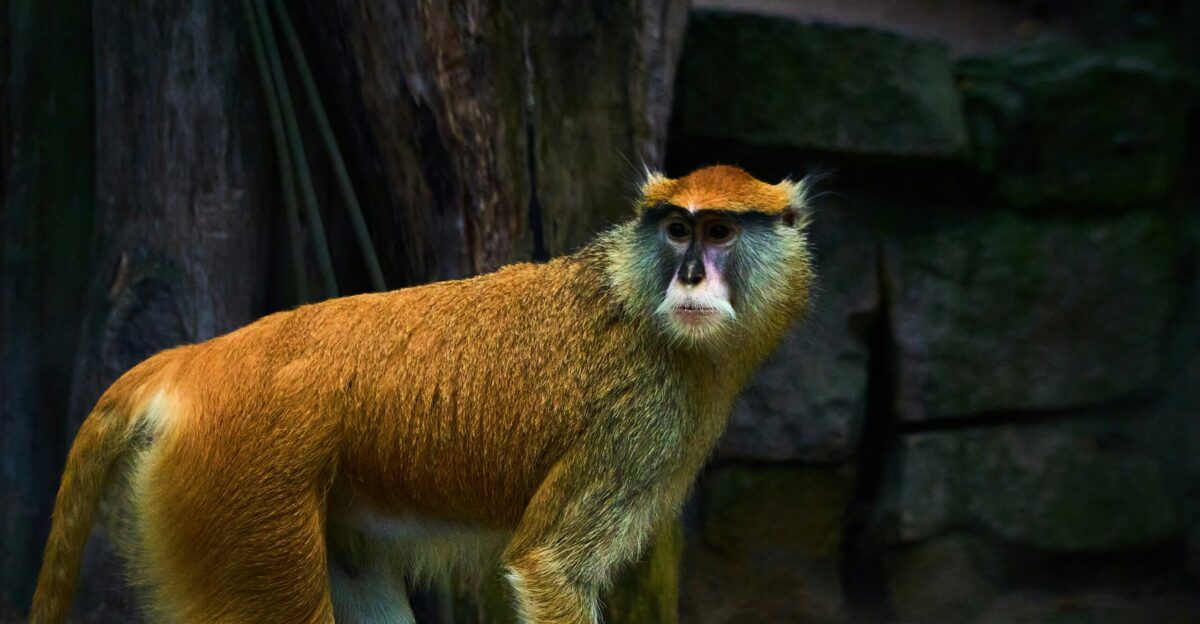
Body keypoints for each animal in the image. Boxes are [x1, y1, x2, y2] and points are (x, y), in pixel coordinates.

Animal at [29, 164, 814, 624]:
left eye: (718, 231)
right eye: (678, 229)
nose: (691, 275)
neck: (630, 289)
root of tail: (200, 360)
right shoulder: (639, 419)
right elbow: (550, 569)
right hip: (242, 487)